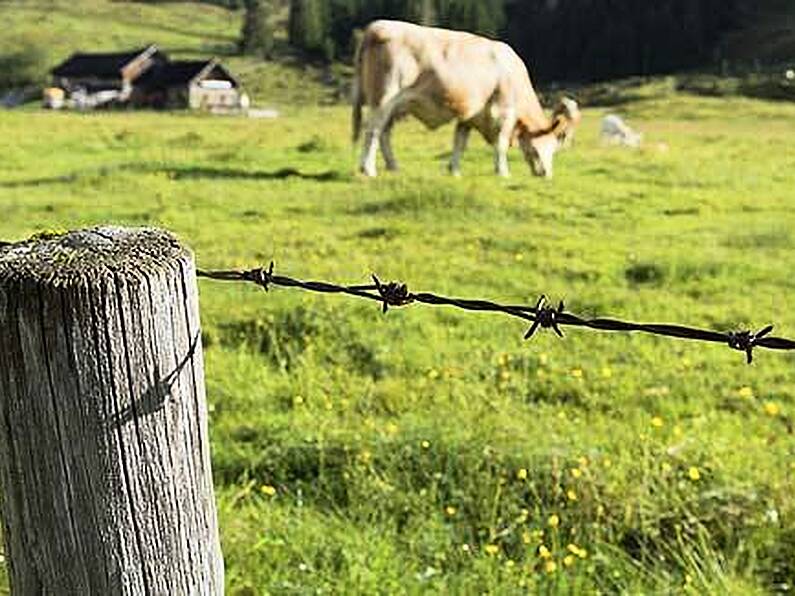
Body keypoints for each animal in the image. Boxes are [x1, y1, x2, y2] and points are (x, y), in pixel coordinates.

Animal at [352, 21, 580, 179]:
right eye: (548, 147)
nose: (546, 174)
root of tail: (377, 26)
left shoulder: (469, 115)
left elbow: (459, 143)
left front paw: (454, 171)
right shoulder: (504, 113)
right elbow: (501, 144)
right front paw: (503, 172)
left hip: (395, 107)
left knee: (385, 133)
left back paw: (393, 167)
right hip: (383, 99)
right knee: (373, 131)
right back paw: (368, 169)